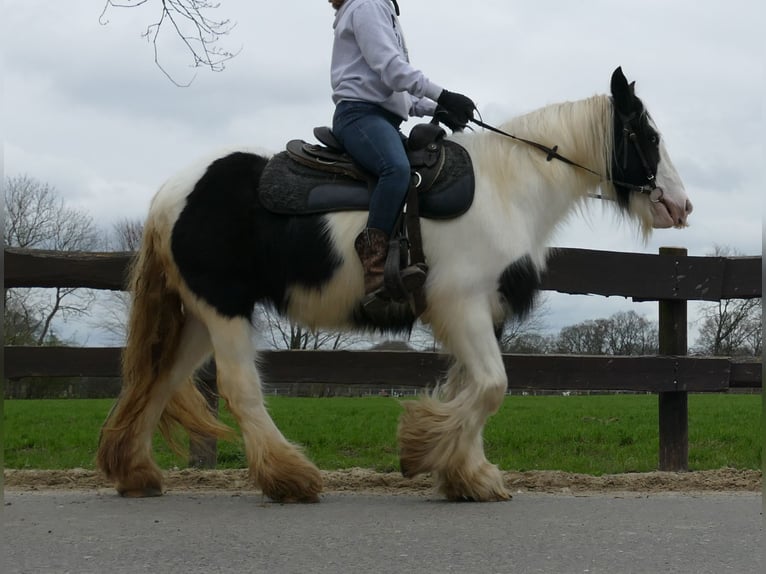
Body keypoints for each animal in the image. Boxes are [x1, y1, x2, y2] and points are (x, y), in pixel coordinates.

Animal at [97, 68, 696, 504]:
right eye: (647, 135)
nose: (681, 205)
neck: (506, 189)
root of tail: (169, 194)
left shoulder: (484, 312)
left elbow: (472, 387)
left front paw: (467, 474)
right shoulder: (460, 306)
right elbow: (491, 387)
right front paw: (423, 450)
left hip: (202, 315)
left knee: (157, 380)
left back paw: (136, 472)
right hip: (224, 311)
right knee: (239, 389)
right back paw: (290, 477)